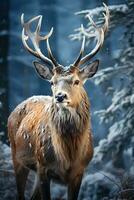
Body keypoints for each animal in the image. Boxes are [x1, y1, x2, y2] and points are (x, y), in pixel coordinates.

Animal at [7, 3, 109, 200]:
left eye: (76, 81)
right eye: (52, 82)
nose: (60, 96)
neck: (68, 156)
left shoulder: (79, 171)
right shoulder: (44, 167)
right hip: (17, 157)